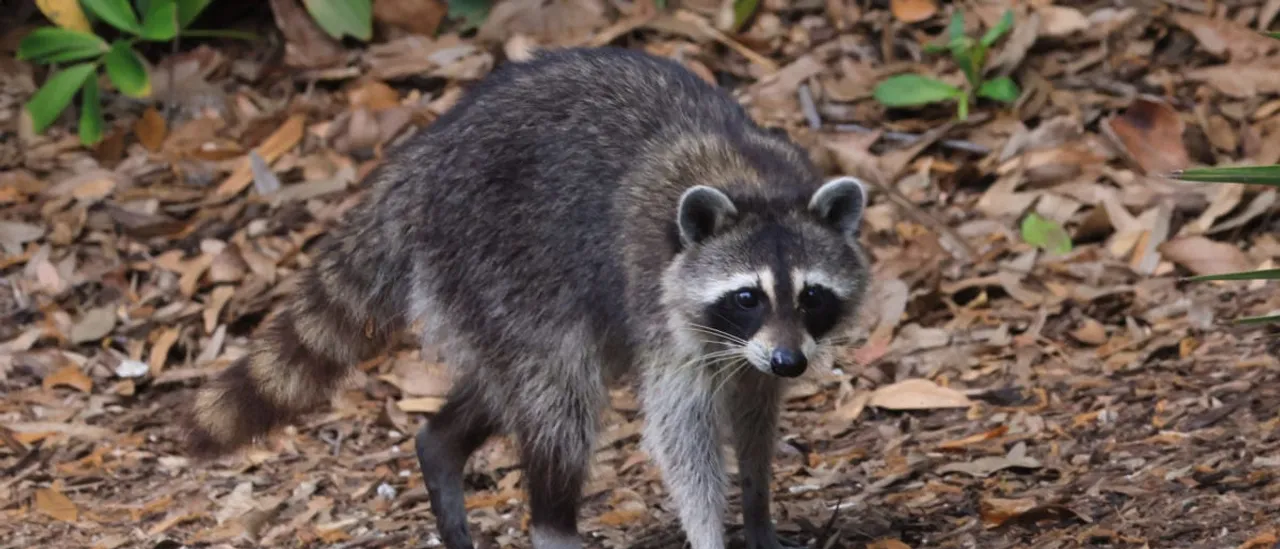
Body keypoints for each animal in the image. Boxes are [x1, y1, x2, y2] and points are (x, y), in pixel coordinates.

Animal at [184, 46, 871, 549]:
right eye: (747, 296)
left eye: (811, 295)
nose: (791, 362)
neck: (751, 182)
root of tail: (420, 162)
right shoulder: (661, 302)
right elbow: (683, 432)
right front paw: (708, 531)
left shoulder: (755, 349)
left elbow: (755, 414)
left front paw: (758, 511)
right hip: (500, 263)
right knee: (558, 396)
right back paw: (553, 523)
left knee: (508, 386)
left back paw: (441, 447)